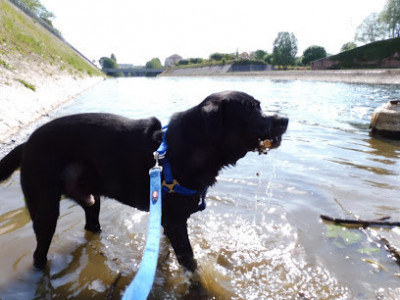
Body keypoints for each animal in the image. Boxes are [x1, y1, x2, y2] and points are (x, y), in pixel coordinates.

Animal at [0, 91, 288, 272]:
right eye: (251, 110)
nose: (284, 119)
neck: (186, 148)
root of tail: (26, 145)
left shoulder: (167, 220)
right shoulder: (175, 223)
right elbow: (190, 263)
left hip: (91, 200)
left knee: (91, 223)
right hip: (45, 209)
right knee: (39, 252)